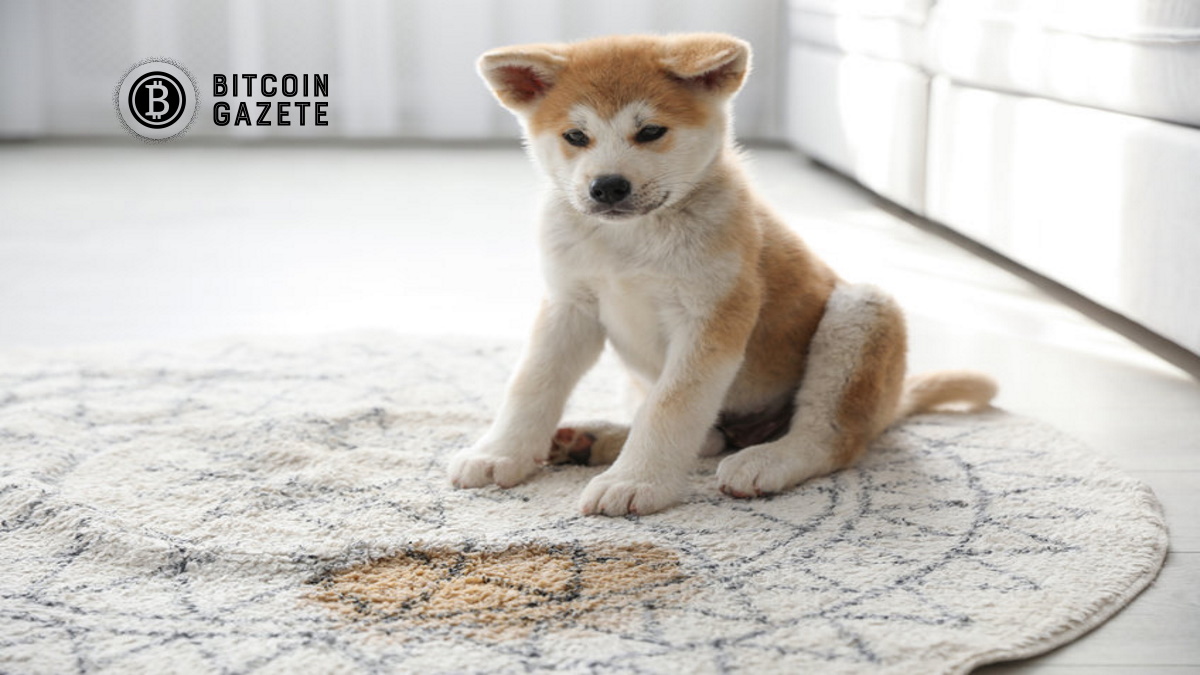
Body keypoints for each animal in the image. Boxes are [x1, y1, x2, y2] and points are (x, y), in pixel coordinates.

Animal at [451, 32, 993, 514]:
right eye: (576, 137)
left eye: (650, 132)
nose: (607, 186)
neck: (630, 242)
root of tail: (893, 400)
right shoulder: (569, 307)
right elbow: (531, 385)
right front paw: (500, 452)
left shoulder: (711, 317)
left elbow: (671, 407)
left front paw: (636, 481)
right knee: (707, 436)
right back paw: (593, 439)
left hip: (860, 310)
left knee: (830, 437)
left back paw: (767, 460)